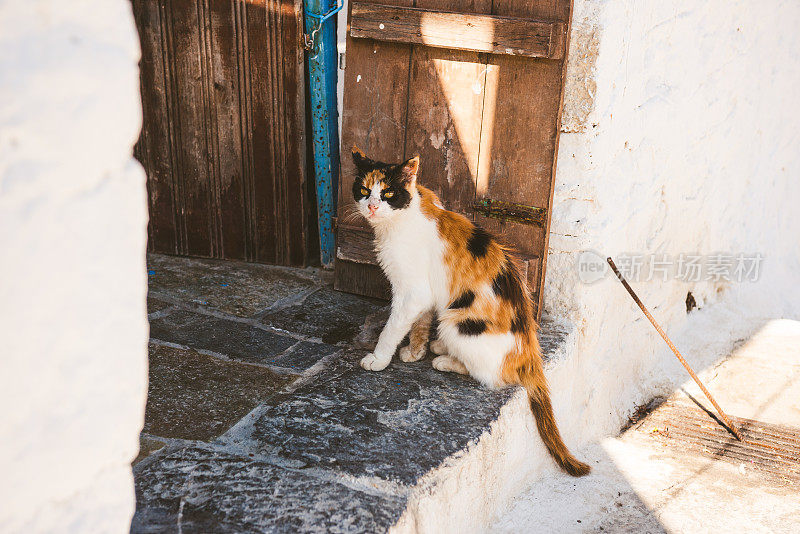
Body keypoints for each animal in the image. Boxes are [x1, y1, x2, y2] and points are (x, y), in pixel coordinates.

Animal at [350, 146, 588, 478]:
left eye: (387, 193)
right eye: (363, 190)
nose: (371, 206)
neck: (405, 216)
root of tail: (530, 351)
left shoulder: (412, 292)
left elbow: (392, 328)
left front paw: (378, 359)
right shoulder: (426, 295)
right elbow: (419, 323)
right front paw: (415, 351)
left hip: (456, 321)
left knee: (492, 375)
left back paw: (446, 360)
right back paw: (438, 348)